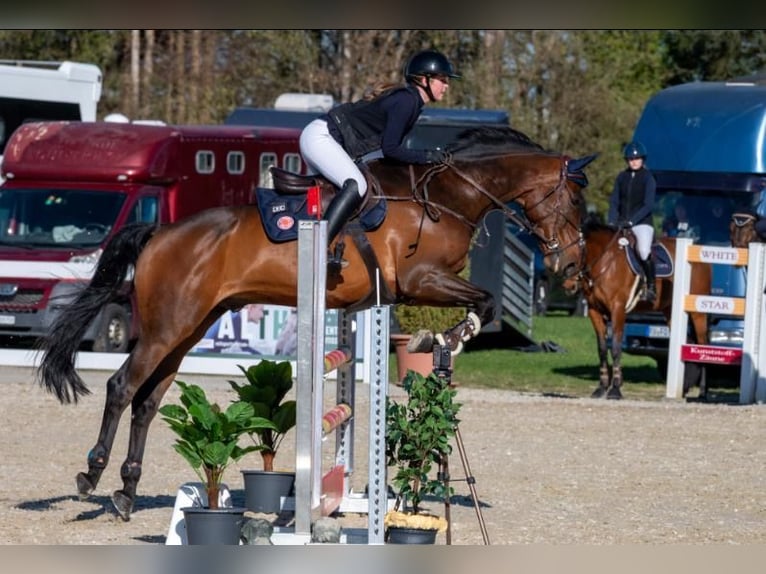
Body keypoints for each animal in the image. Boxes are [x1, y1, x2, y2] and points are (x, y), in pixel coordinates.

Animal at [36, 126, 596, 521]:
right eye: (573, 201)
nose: (571, 268)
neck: (446, 198)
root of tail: (161, 232)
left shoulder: (421, 285)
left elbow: (487, 303)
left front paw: (443, 340)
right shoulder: (421, 279)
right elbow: (487, 302)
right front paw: (444, 337)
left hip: (188, 329)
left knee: (148, 402)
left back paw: (126, 492)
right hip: (166, 328)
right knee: (121, 387)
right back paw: (92, 475)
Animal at [565, 221, 711, 400]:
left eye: (577, 252)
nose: (568, 285)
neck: (605, 262)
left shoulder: (618, 309)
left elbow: (615, 347)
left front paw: (615, 389)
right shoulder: (594, 310)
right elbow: (602, 348)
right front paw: (601, 388)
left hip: (698, 313)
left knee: (703, 344)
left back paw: (703, 391)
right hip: (670, 311)